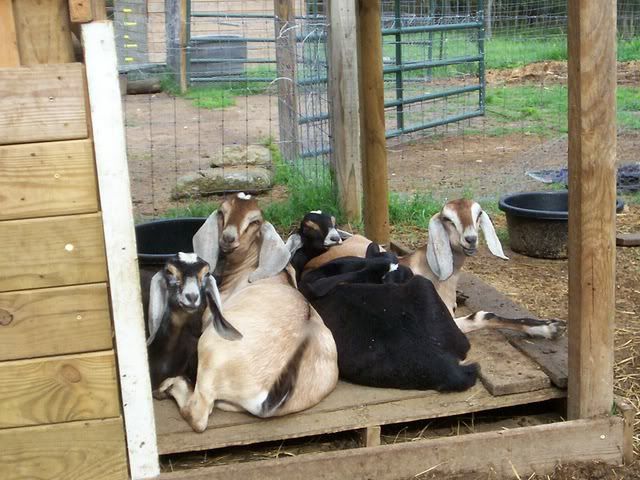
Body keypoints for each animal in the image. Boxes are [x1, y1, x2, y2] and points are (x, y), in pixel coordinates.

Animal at [157, 193, 338, 432]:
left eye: (255, 222)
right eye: (222, 212)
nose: (228, 238)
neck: (249, 270)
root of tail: (266, 397)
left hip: (210, 350)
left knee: (198, 413)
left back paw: (168, 386)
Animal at [288, 201, 564, 339]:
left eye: (478, 213)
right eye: (447, 218)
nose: (470, 239)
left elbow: (485, 315)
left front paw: (550, 327)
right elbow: (481, 317)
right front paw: (550, 327)